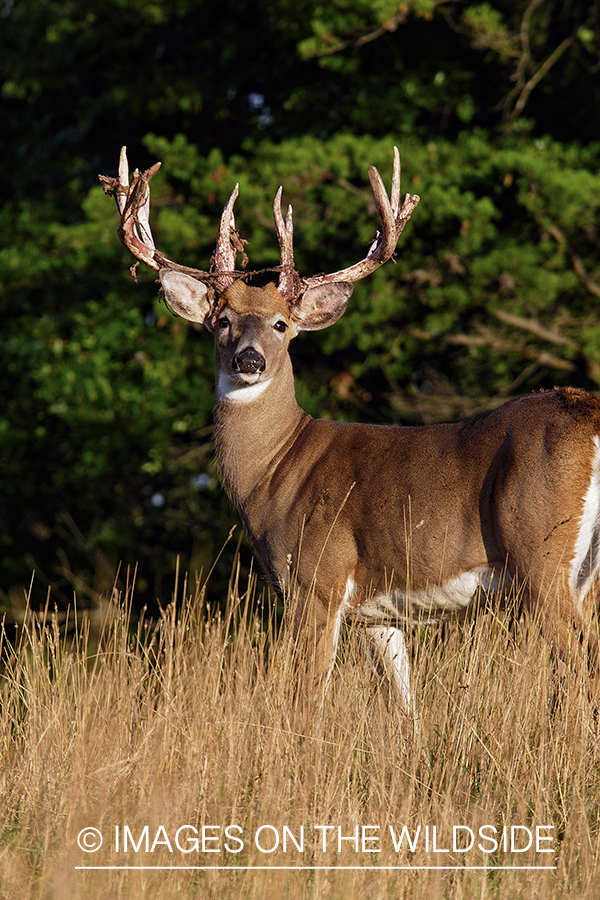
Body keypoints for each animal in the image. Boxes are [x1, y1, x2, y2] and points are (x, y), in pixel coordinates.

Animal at [101, 144, 600, 712]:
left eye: (281, 324)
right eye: (222, 320)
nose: (249, 360)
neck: (275, 469)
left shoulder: (315, 580)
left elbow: (307, 700)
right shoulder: (376, 615)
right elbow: (404, 708)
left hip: (540, 556)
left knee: (582, 662)